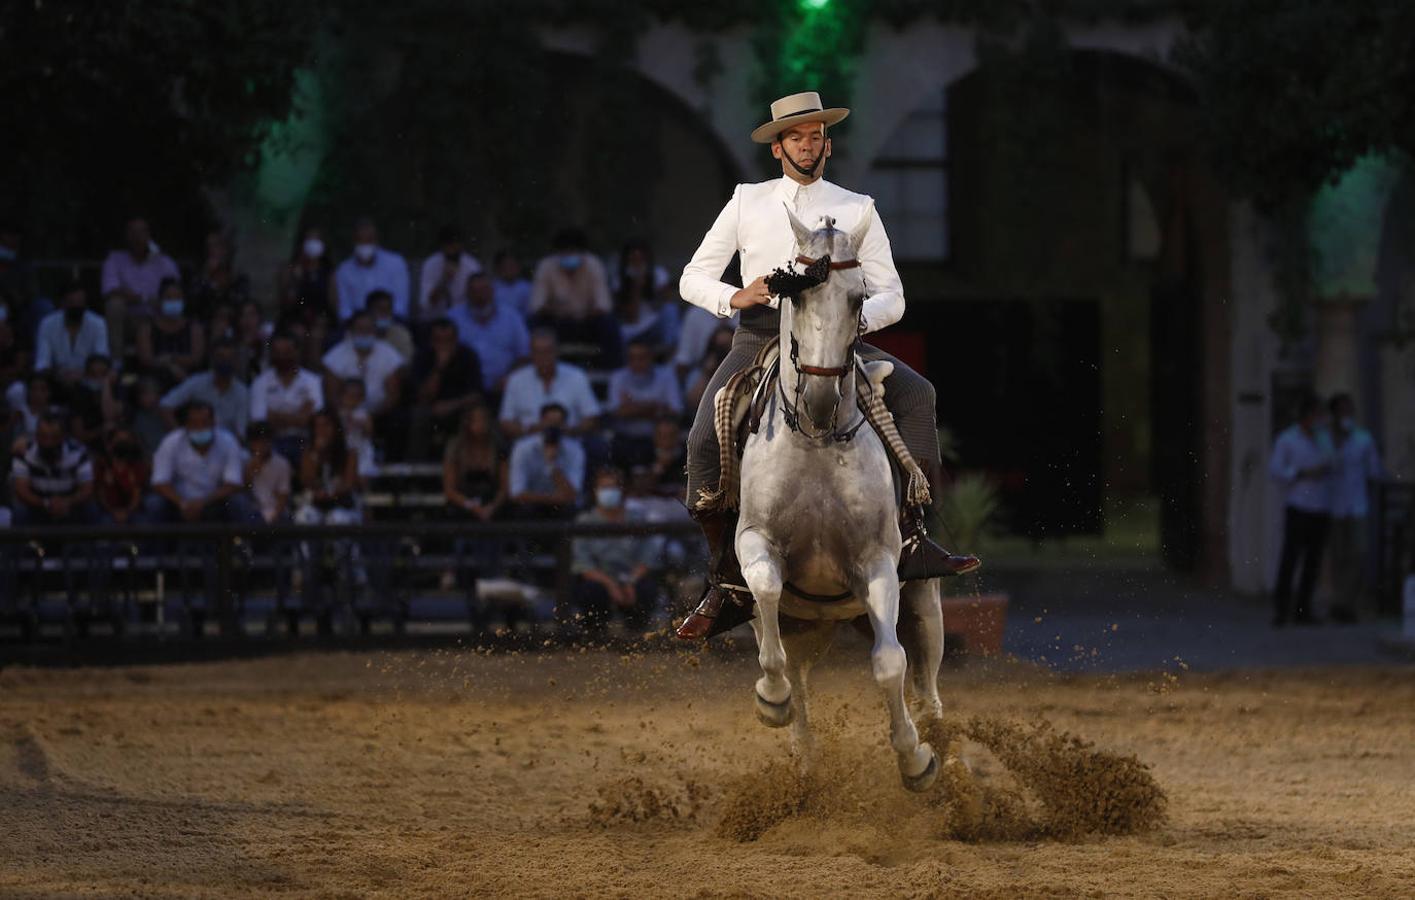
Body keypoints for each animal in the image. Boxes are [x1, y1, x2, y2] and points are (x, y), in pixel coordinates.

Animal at [735, 202, 945, 786]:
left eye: (858, 298)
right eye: (797, 295)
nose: (822, 395)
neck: (814, 440)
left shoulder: (877, 561)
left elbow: (890, 663)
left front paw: (915, 758)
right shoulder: (753, 542)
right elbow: (767, 594)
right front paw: (771, 699)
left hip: (923, 599)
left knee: (927, 687)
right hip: (804, 623)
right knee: (796, 672)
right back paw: (802, 757)